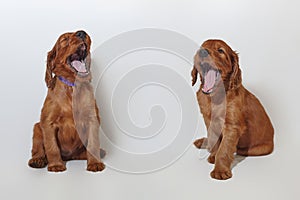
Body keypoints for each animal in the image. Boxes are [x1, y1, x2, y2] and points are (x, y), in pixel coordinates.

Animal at [28, 30, 105, 172]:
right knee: (38, 149)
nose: (82, 33)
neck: (72, 87)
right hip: (37, 127)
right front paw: (56, 165)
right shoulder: (48, 122)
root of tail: (70, 157)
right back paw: (37, 160)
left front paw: (95, 163)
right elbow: (52, 147)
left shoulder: (92, 119)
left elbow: (93, 143)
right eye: (64, 39)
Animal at [192, 39, 274, 180]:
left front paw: (220, 171)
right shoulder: (209, 120)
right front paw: (213, 156)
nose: (202, 52)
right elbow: (214, 139)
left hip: (258, 149)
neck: (215, 96)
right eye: (201, 48)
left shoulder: (232, 126)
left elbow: (224, 148)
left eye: (220, 50)